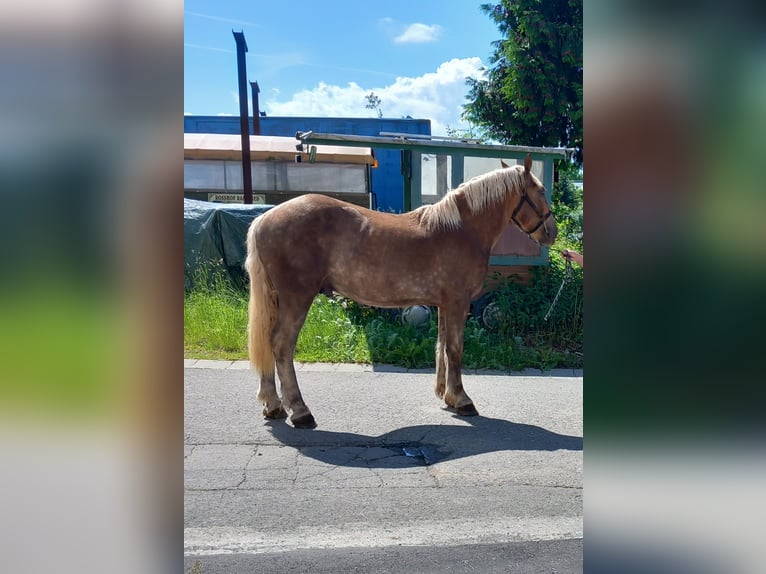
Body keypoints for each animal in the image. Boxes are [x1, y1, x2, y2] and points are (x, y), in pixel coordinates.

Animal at [249, 155, 560, 430]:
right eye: (541, 191)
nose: (552, 232)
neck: (462, 229)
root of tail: (265, 218)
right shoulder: (458, 302)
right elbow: (455, 349)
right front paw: (462, 400)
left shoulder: (444, 304)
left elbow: (442, 347)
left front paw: (448, 397)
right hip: (297, 298)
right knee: (281, 345)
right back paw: (300, 411)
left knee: (268, 341)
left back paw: (273, 405)